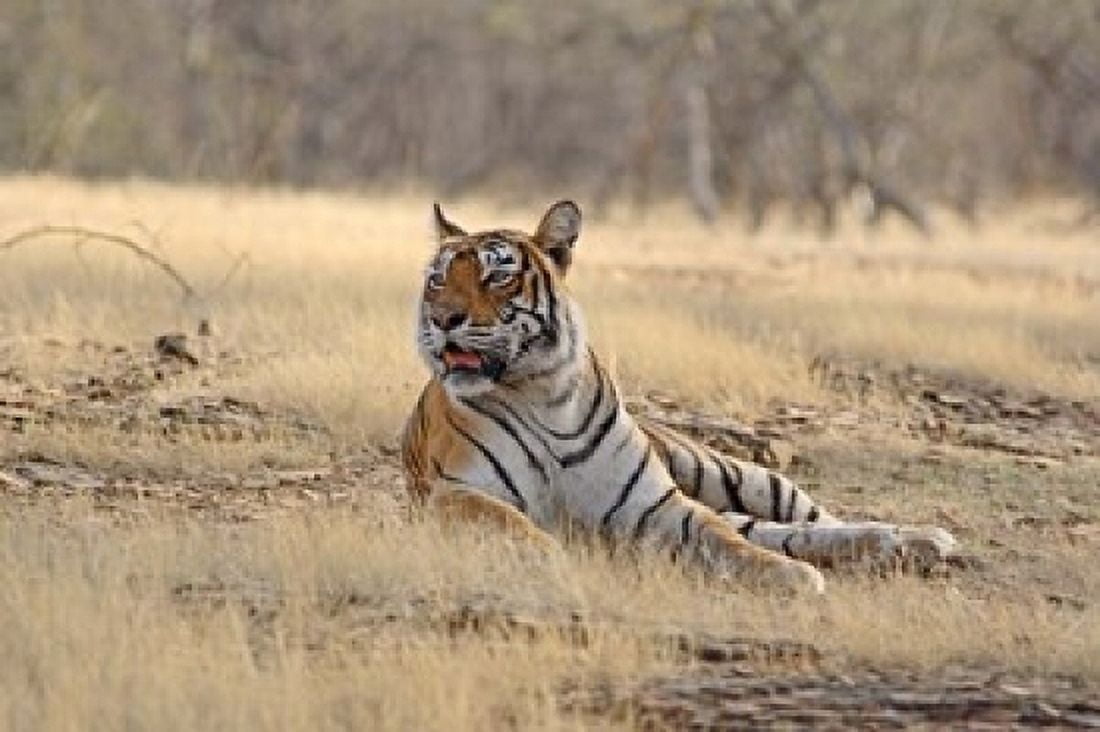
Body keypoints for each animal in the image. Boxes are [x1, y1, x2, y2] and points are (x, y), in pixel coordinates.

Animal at [401, 200, 957, 593]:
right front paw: (552, 558)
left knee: (812, 520)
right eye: (438, 279)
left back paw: (916, 539)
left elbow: (724, 541)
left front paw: (790, 576)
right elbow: (513, 524)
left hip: (734, 474)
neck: (542, 395)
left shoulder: (657, 504)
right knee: (779, 530)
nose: (443, 318)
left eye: (497, 275)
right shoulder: (456, 493)